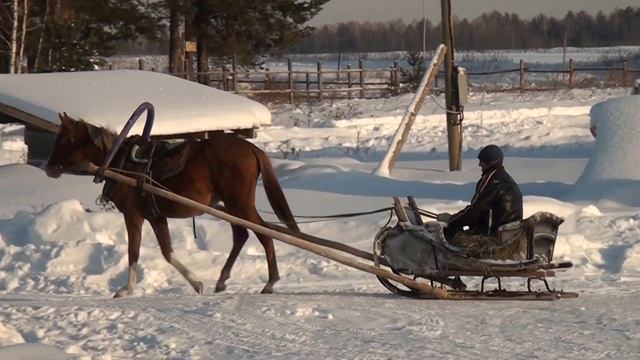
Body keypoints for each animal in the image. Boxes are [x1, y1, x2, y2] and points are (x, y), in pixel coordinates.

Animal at [45, 113, 300, 298]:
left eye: (66, 139)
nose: (49, 168)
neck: (121, 162)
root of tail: (252, 149)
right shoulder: (156, 217)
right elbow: (167, 252)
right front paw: (196, 283)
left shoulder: (134, 215)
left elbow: (134, 251)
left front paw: (127, 289)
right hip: (232, 205)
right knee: (241, 235)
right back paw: (222, 279)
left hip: (240, 203)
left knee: (263, 233)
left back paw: (270, 282)